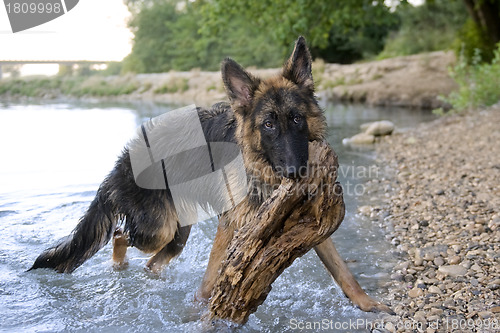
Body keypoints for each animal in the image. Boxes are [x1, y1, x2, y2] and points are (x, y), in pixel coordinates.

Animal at [30, 37, 390, 314]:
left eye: (297, 119)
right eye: (268, 125)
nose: (294, 171)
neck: (259, 170)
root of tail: (124, 159)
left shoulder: (312, 226)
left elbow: (343, 270)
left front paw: (367, 303)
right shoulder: (231, 225)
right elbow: (210, 278)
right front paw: (199, 311)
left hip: (178, 233)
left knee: (149, 259)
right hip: (160, 228)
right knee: (121, 235)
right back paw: (120, 267)